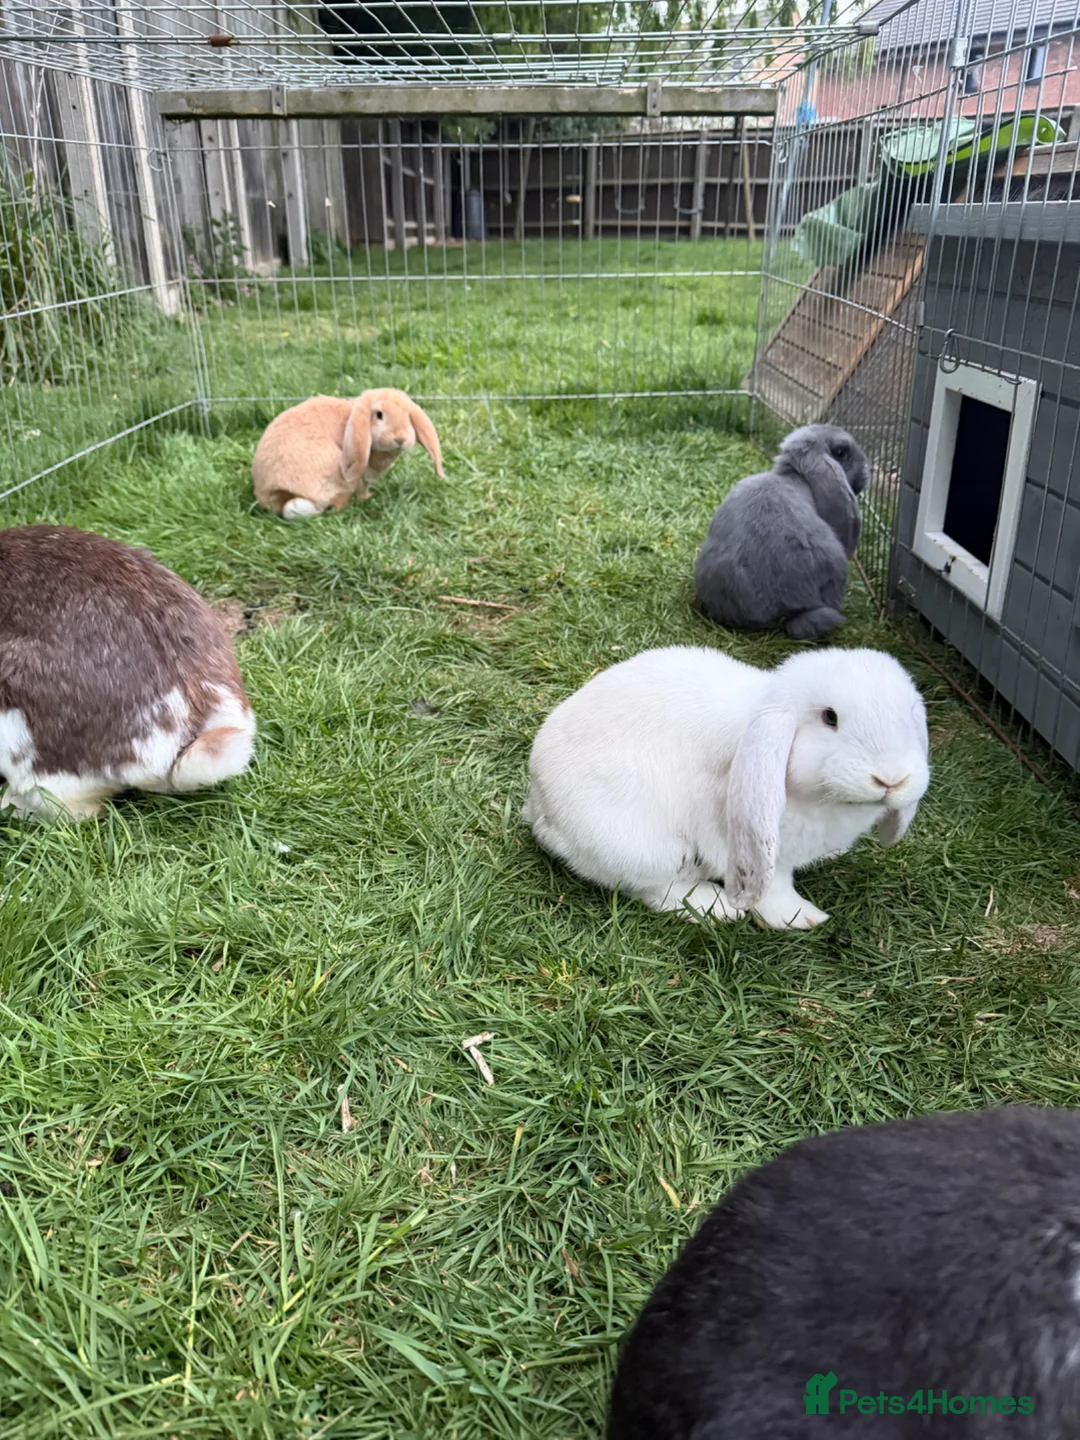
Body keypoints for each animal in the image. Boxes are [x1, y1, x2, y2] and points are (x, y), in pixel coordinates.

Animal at [252, 388, 444, 519]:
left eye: (408, 416)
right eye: (379, 414)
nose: (400, 438)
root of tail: (279, 489)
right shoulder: (361, 476)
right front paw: (366, 497)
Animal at [522, 644, 928, 929]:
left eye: (910, 716)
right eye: (830, 718)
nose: (892, 778)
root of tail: (538, 807)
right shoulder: (760, 852)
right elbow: (774, 889)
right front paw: (800, 917)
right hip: (641, 848)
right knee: (652, 889)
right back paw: (715, 907)